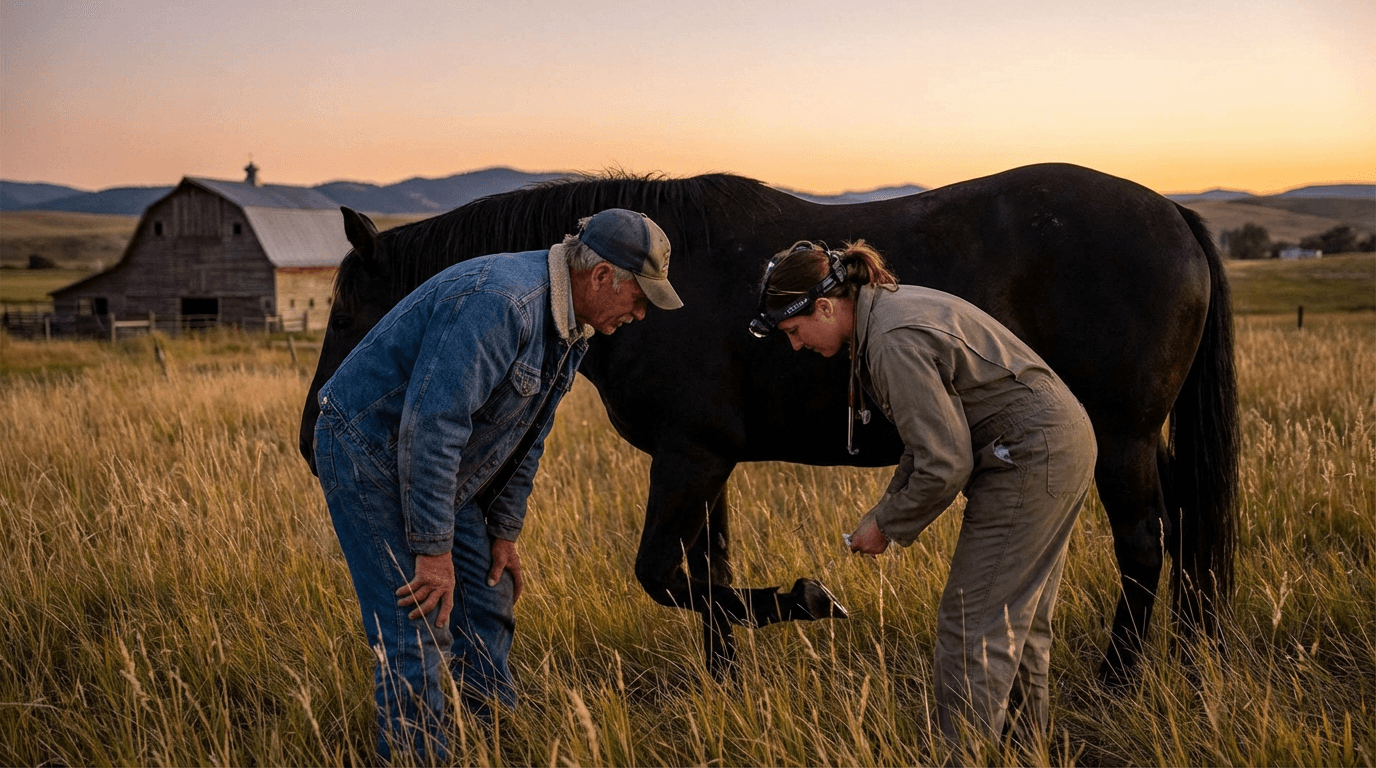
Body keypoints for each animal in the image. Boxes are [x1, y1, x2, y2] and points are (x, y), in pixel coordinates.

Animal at [300, 163, 1238, 686]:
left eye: (344, 311)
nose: (311, 440)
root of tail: (1175, 214)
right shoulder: (707, 461)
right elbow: (706, 574)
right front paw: (728, 677)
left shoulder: (687, 459)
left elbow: (663, 575)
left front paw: (803, 600)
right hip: (1140, 442)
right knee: (1188, 526)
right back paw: (1191, 659)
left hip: (1119, 440)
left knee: (1146, 546)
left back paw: (1120, 678)